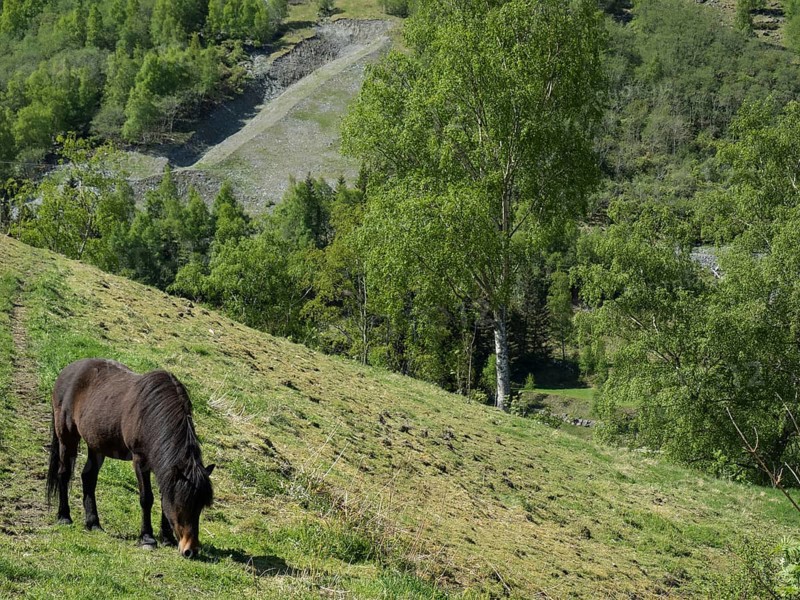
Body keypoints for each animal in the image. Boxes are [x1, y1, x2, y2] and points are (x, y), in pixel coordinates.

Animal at [46, 358, 215, 558]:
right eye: (181, 505)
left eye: (200, 508)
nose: (190, 550)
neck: (151, 415)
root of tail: (67, 371)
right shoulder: (140, 460)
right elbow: (146, 498)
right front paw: (148, 538)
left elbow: (163, 498)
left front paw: (167, 538)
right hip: (67, 436)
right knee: (64, 474)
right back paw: (64, 517)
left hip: (96, 445)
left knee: (88, 477)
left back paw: (93, 523)